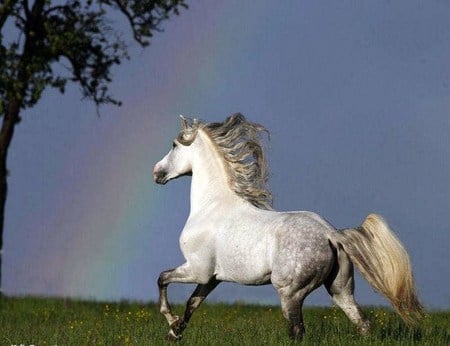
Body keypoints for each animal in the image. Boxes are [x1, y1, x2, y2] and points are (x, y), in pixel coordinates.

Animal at [153, 114, 424, 340]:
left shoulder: (197, 269)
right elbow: (192, 303)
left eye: (174, 145)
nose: (157, 173)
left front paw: (171, 321)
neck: (211, 205)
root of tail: (330, 234)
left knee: (297, 331)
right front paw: (175, 332)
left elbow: (162, 278)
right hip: (341, 289)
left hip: (290, 292)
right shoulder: (212, 278)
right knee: (362, 324)